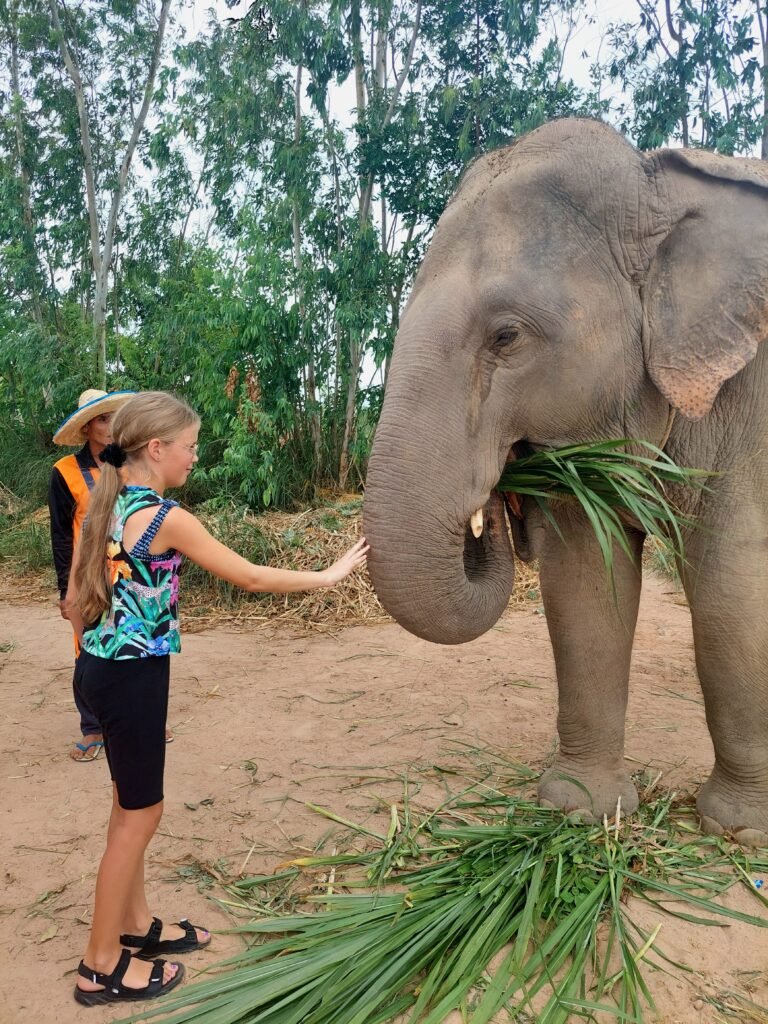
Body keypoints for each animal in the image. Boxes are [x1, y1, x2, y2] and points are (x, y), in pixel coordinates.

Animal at [363, 118, 768, 845]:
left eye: (506, 336)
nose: (500, 498)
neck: (657, 192)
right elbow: (586, 580)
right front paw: (580, 811)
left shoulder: (750, 403)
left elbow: (733, 587)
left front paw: (741, 832)